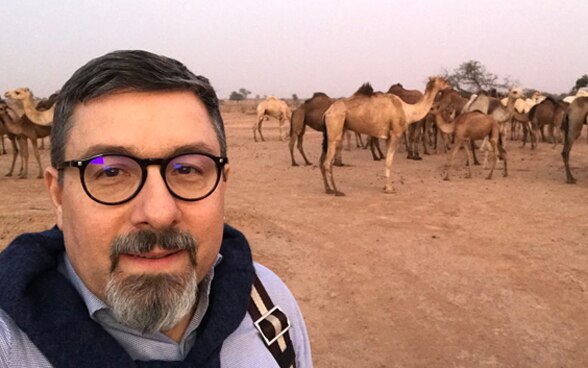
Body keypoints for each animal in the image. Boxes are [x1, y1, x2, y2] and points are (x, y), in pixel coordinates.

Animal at [320, 77, 448, 196]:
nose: (448, 86)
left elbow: (387, 160)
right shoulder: (396, 134)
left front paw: (386, 187)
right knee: (327, 162)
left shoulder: (388, 137)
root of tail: (327, 112)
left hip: (333, 130)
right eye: (443, 80)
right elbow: (389, 162)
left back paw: (328, 189)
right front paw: (390, 189)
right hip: (335, 126)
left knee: (322, 161)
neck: (407, 111)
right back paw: (336, 191)